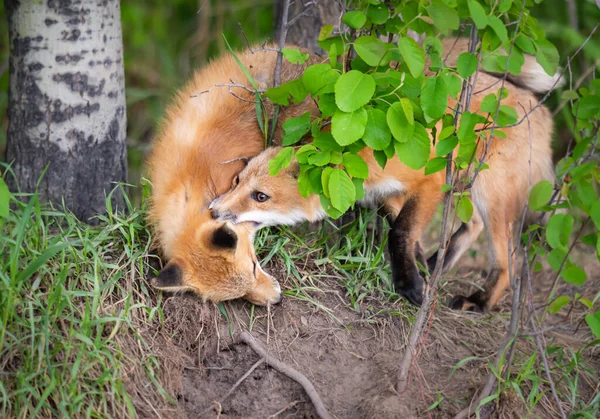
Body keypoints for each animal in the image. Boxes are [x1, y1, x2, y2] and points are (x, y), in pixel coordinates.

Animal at [209, 38, 560, 312]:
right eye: (237, 181)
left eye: (261, 196)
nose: (213, 210)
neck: (359, 154)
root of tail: (539, 109)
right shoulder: (384, 191)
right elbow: (403, 230)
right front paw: (419, 269)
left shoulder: (429, 181)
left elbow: (400, 232)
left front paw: (409, 286)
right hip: (468, 185)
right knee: (472, 226)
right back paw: (439, 264)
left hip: (490, 192)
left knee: (509, 262)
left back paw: (481, 302)